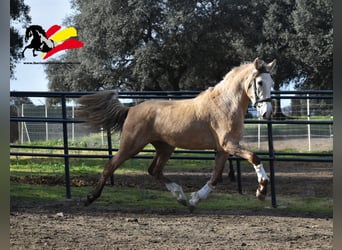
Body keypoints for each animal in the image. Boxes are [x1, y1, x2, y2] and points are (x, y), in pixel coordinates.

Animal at [77, 58, 276, 211]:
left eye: (272, 83)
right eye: (260, 82)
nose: (267, 112)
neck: (225, 104)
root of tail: (131, 109)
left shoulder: (223, 149)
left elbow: (215, 177)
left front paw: (194, 200)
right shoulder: (229, 144)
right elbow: (254, 157)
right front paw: (261, 191)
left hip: (165, 148)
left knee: (154, 170)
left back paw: (180, 196)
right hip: (132, 145)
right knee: (110, 165)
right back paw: (90, 198)